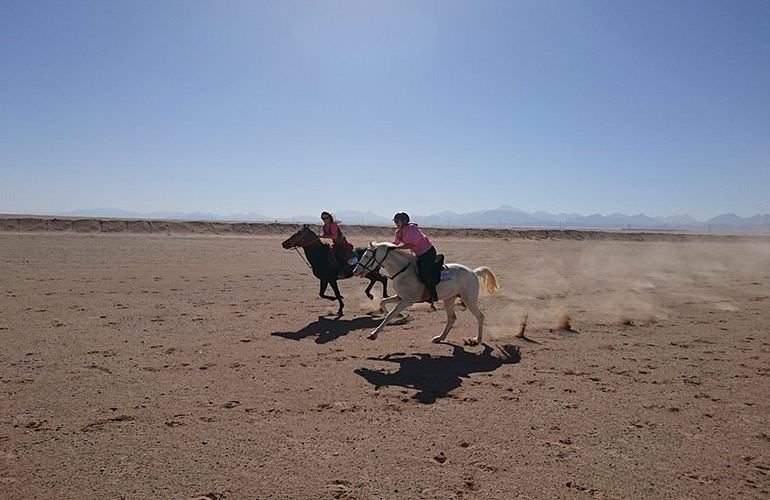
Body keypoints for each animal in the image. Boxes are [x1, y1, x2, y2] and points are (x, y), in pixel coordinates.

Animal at [352, 244, 498, 346]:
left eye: (366, 256)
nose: (355, 271)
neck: (403, 271)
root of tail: (473, 272)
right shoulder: (400, 297)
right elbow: (383, 302)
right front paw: (399, 317)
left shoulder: (407, 301)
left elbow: (390, 314)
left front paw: (374, 334)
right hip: (449, 299)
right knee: (452, 318)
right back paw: (440, 338)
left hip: (469, 299)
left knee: (480, 316)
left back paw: (477, 339)